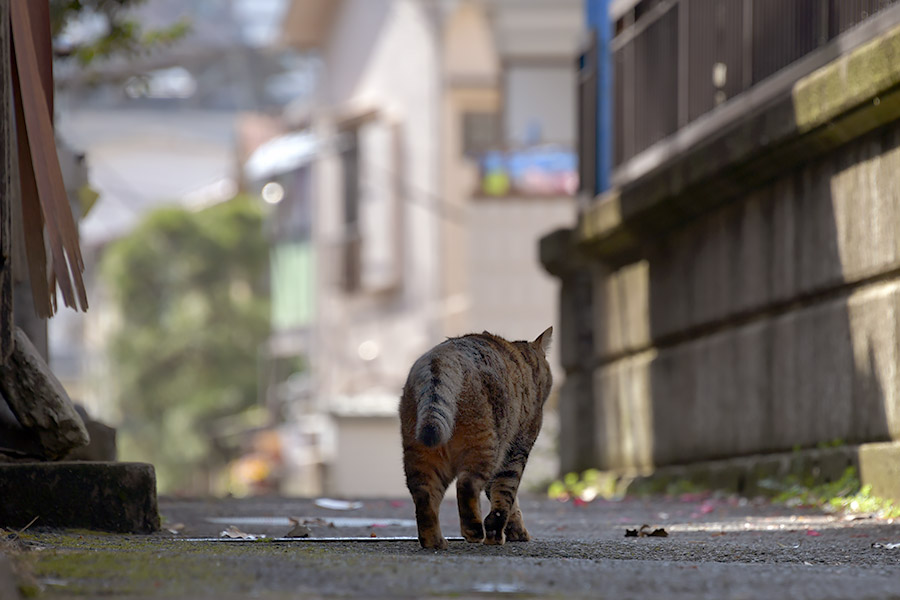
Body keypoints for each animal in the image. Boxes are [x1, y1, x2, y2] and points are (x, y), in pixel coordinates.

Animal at [400, 328, 552, 548]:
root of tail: (442, 357)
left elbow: (504, 496)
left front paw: (514, 531)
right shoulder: (516, 450)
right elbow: (506, 493)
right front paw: (497, 534)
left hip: (421, 452)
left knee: (424, 494)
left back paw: (435, 542)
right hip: (484, 445)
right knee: (466, 485)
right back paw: (474, 531)